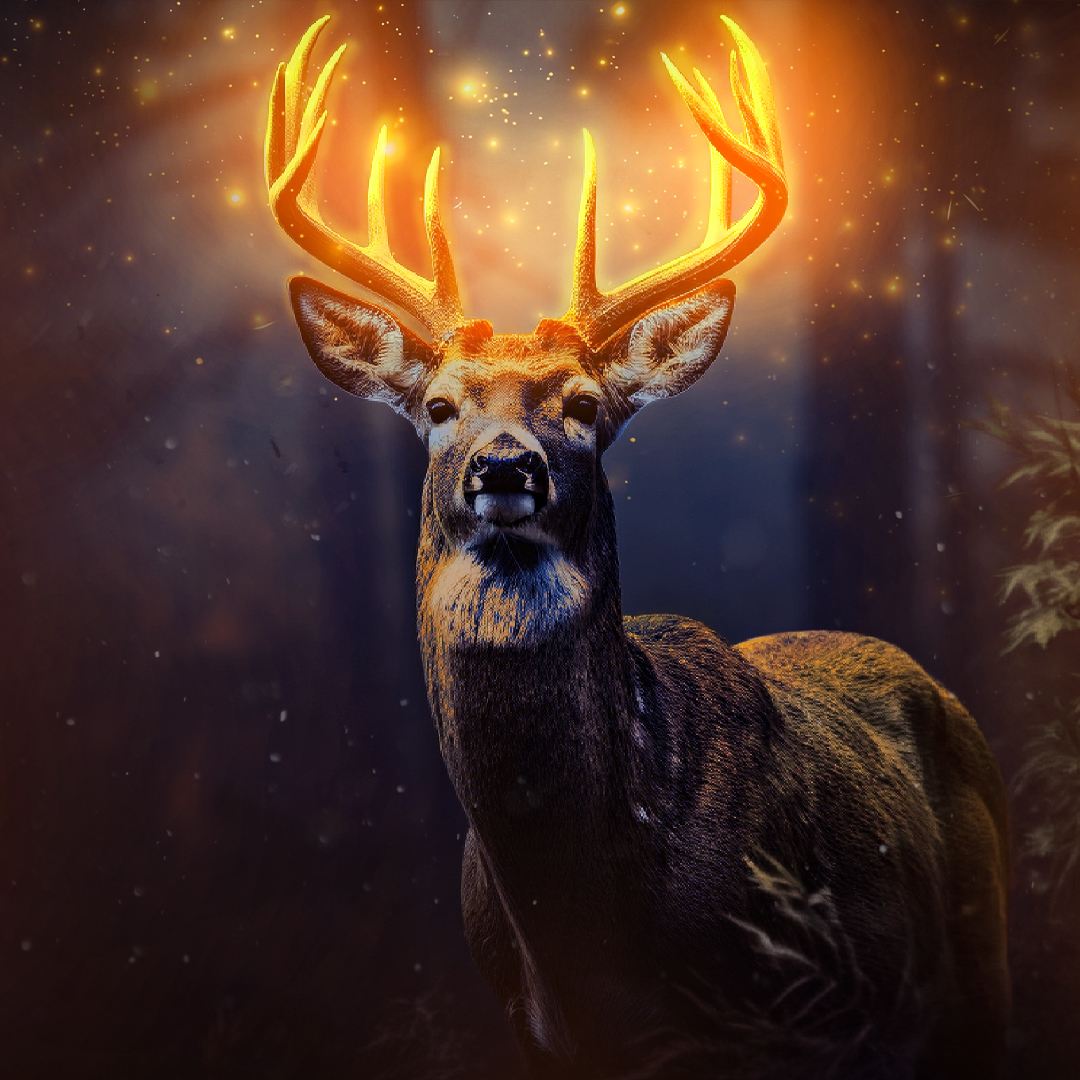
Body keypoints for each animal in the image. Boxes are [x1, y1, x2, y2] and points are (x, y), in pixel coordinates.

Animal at [264, 16, 1010, 1080]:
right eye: (439, 406)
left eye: (584, 405)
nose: (504, 465)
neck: (587, 933)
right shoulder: (533, 1030)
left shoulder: (781, 1015)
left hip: (978, 956)